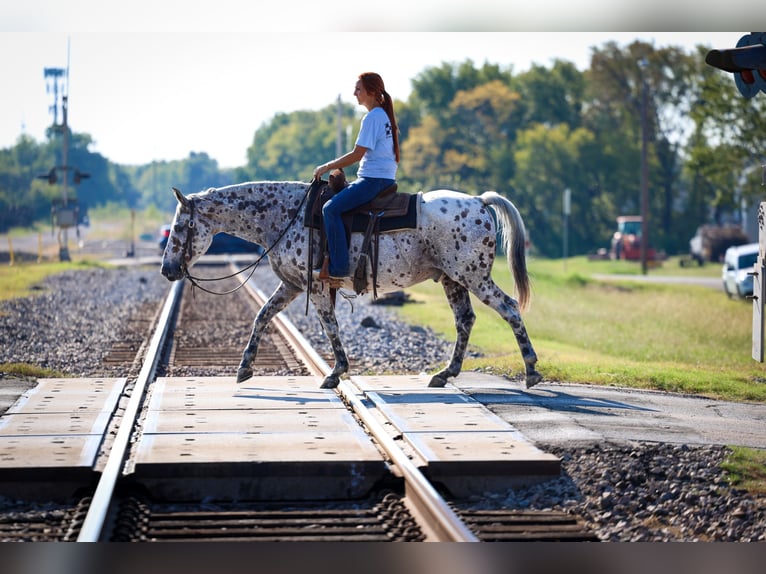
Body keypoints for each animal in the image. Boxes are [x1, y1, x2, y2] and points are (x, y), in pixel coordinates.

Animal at [160, 181, 542, 390]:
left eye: (179, 227)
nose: (166, 269)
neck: (285, 216)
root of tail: (478, 201)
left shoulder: (315, 287)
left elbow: (330, 327)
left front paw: (335, 373)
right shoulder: (292, 286)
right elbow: (263, 317)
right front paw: (244, 368)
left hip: (473, 276)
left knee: (509, 308)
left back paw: (532, 371)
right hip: (454, 279)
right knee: (465, 320)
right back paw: (445, 373)